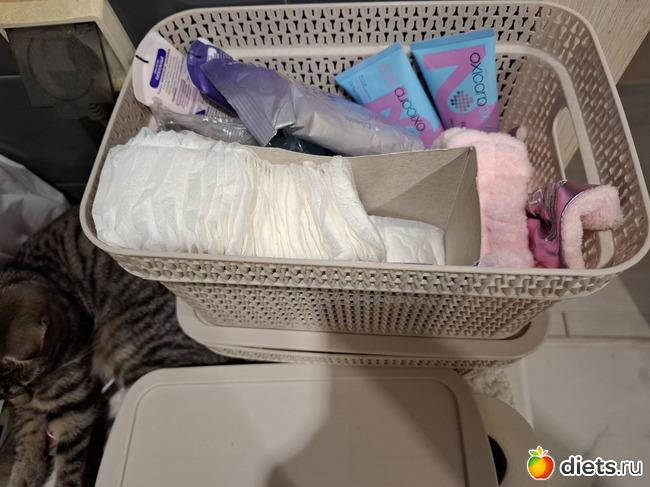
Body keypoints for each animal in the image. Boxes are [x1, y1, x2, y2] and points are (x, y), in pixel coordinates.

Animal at [0, 208, 232, 487]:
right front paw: (26, 470)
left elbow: (68, 459)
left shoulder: (73, 394)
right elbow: (25, 425)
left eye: (26, 381)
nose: (20, 397)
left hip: (133, 350)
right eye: (3, 393)